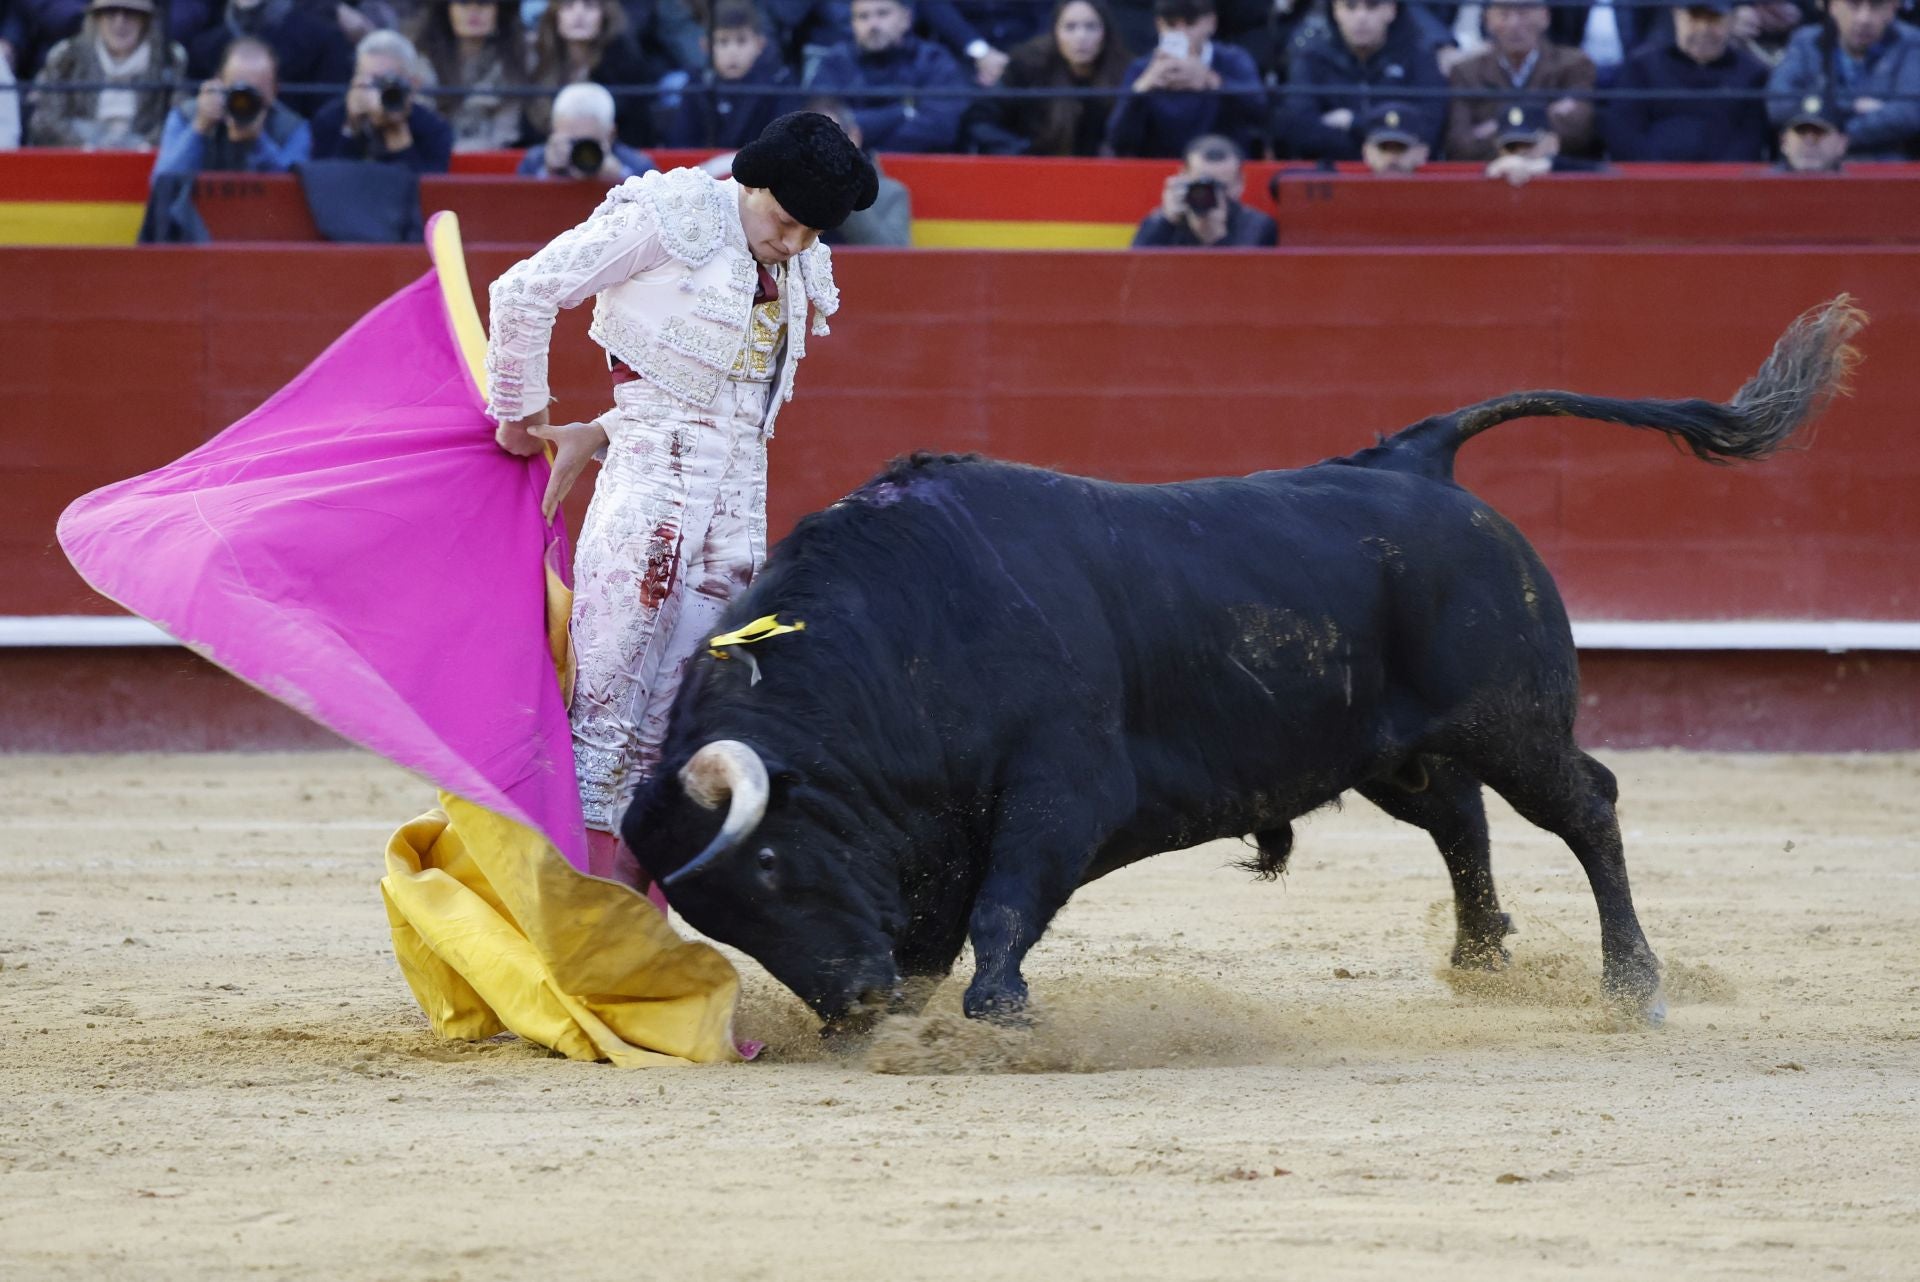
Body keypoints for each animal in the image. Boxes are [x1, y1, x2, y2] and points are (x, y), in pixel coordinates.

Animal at [622, 297, 1866, 1028]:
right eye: (721, 916)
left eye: (772, 865)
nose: (856, 1003)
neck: (903, 641)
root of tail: (1416, 458)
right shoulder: (937, 833)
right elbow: (948, 913)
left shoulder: (1061, 789)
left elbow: (1006, 904)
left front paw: (999, 1014)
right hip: (1393, 748)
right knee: (1461, 819)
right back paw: (1479, 961)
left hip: (1514, 717)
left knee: (1587, 806)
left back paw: (1633, 983)